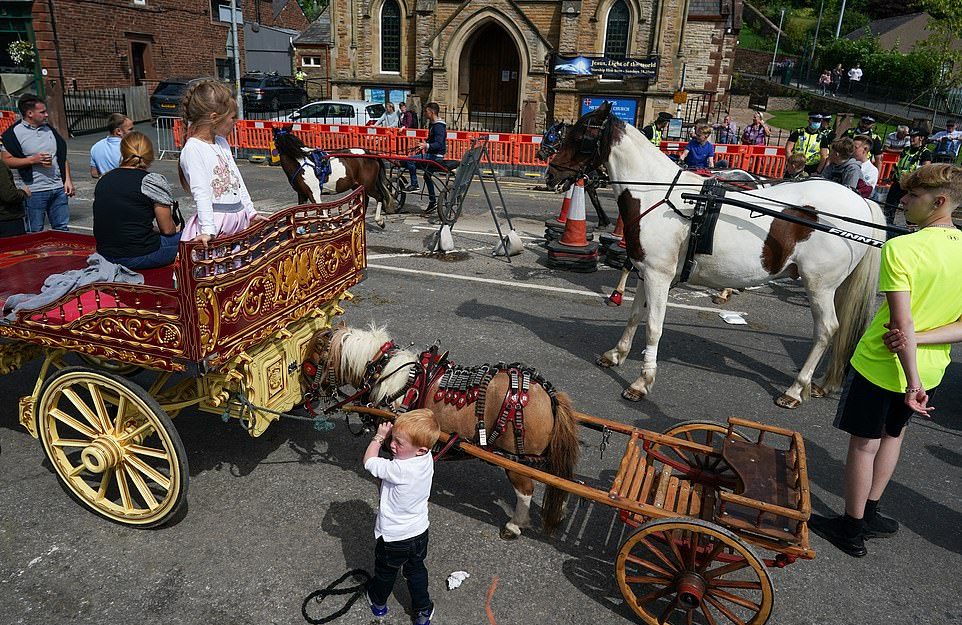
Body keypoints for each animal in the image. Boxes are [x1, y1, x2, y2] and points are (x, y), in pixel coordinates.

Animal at [310, 324, 576, 540]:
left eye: (312, 360)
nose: (307, 394)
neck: (386, 374)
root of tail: (550, 396)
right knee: (558, 477)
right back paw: (560, 509)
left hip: (514, 461)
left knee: (526, 491)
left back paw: (515, 525)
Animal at [544, 103, 880, 410]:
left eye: (581, 136)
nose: (551, 173)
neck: (658, 194)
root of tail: (861, 203)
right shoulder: (647, 271)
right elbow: (635, 314)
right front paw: (617, 354)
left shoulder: (658, 276)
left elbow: (653, 326)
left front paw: (642, 381)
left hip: (819, 286)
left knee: (827, 330)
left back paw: (796, 389)